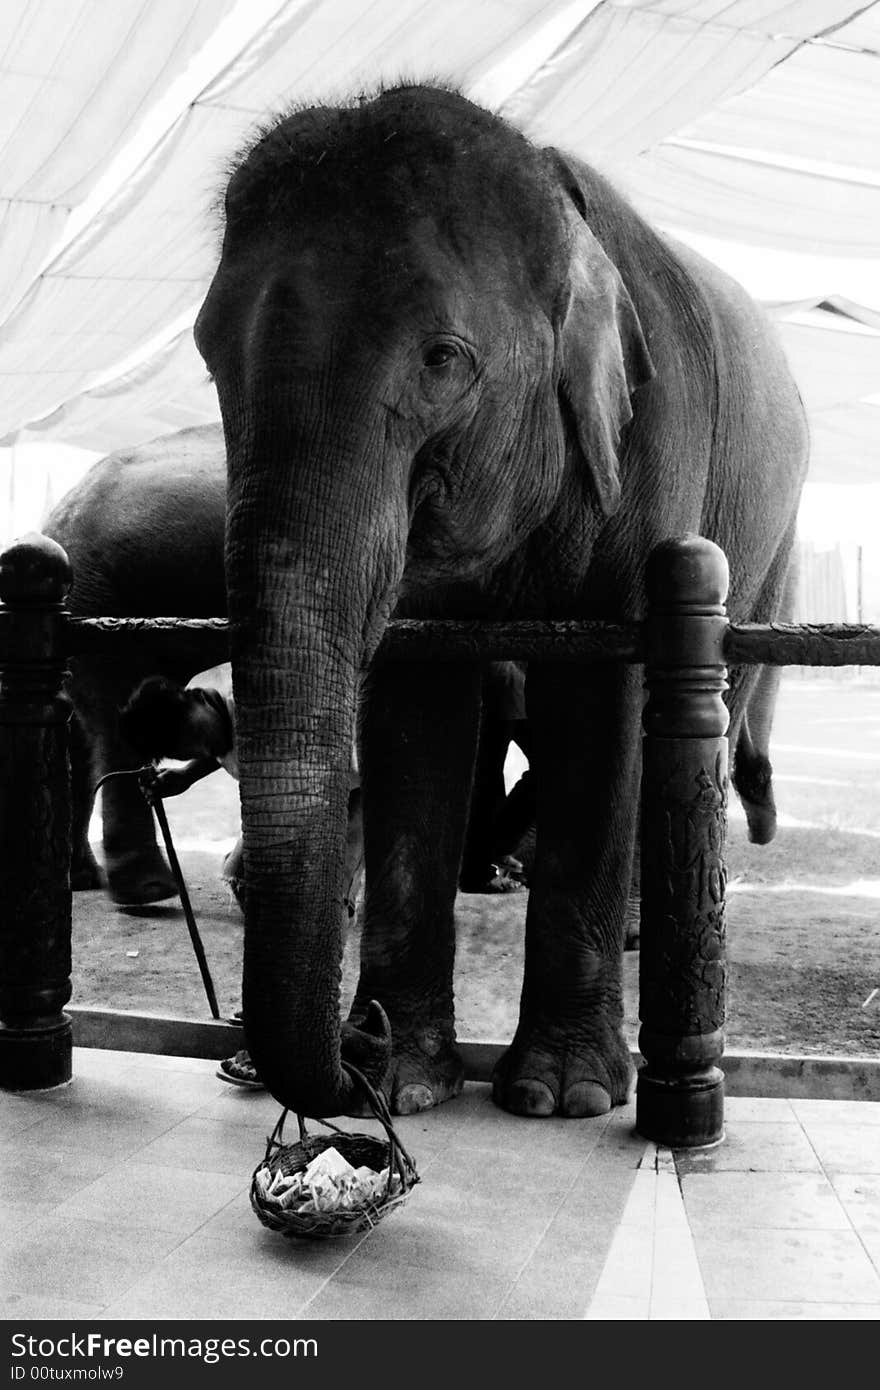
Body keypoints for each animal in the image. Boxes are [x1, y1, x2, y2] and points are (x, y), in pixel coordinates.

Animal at [193, 81, 811, 1123]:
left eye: (442, 358)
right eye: (205, 350)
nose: (350, 1052)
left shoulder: (655, 433)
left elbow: (598, 702)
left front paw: (562, 1096)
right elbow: (416, 710)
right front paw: (403, 1081)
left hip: (764, 548)